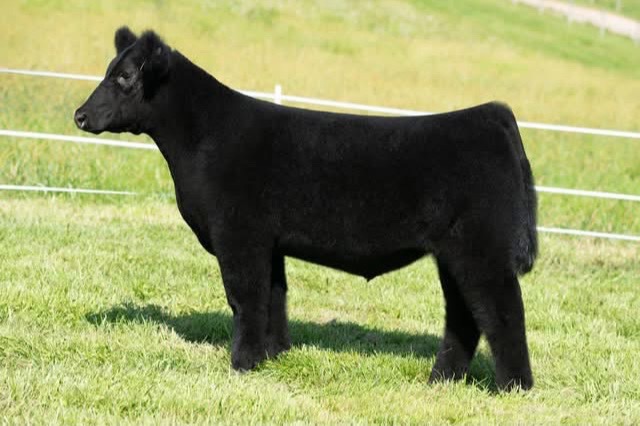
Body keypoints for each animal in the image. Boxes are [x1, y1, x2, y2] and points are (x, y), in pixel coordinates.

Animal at [75, 27, 538, 391]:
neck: (204, 138)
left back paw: (513, 387)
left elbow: (245, 298)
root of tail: (491, 114)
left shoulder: (239, 235)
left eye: (124, 76)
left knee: (502, 311)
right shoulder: (270, 242)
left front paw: (241, 364)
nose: (79, 115)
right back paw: (441, 379)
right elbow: (274, 299)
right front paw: (273, 356)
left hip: (482, 249)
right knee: (464, 316)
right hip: (453, 254)